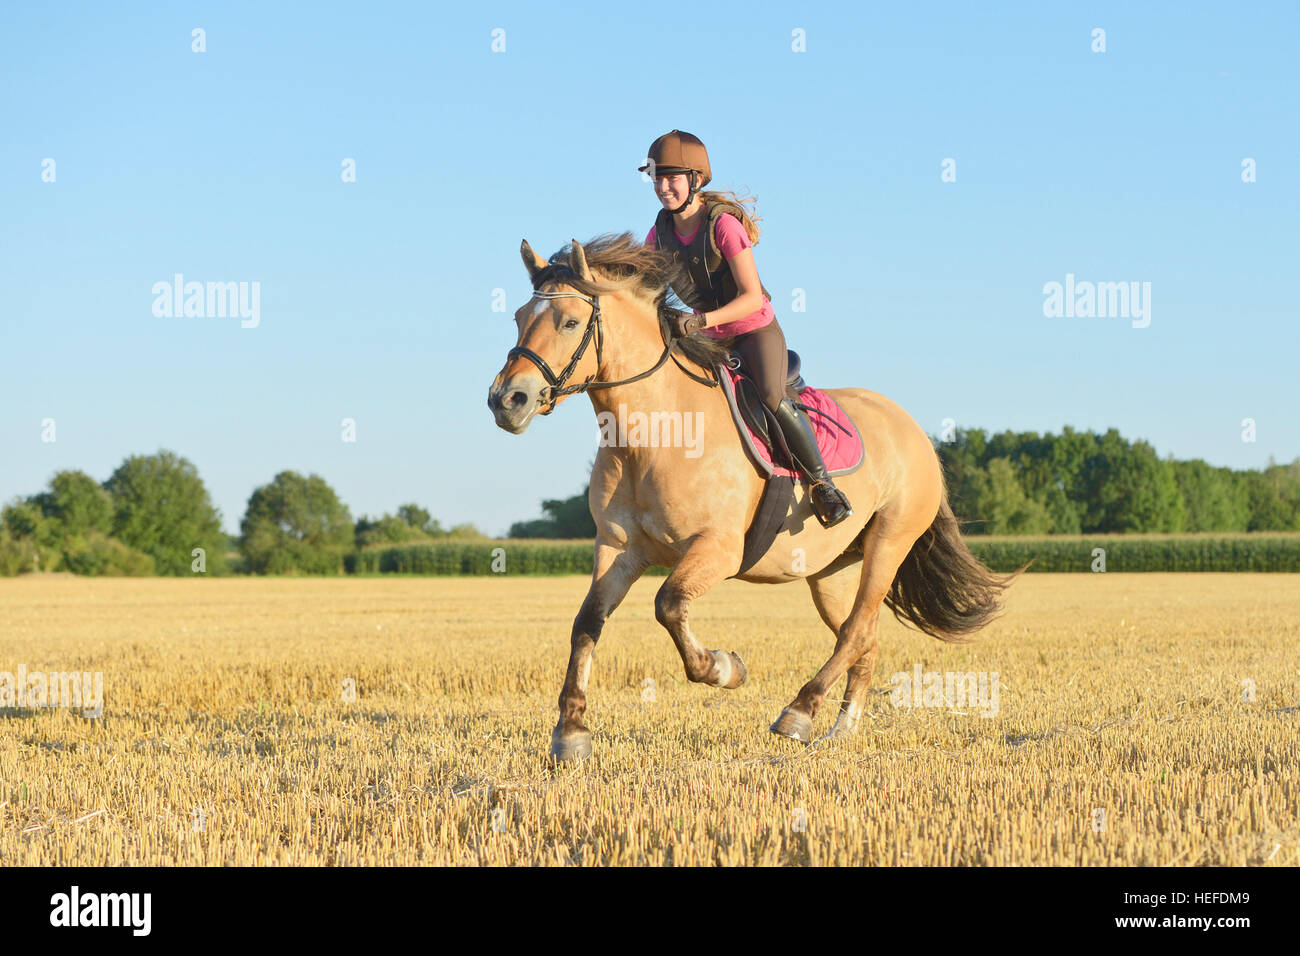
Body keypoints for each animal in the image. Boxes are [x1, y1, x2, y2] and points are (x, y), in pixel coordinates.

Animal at [488, 231, 1024, 764]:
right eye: (518, 316)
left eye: (570, 321)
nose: (506, 400)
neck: (651, 434)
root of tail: (912, 428)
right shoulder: (619, 549)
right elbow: (587, 622)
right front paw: (571, 731)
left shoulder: (718, 549)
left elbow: (668, 605)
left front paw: (725, 668)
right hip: (831, 570)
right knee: (862, 636)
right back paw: (840, 730)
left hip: (889, 543)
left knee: (855, 630)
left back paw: (799, 713)